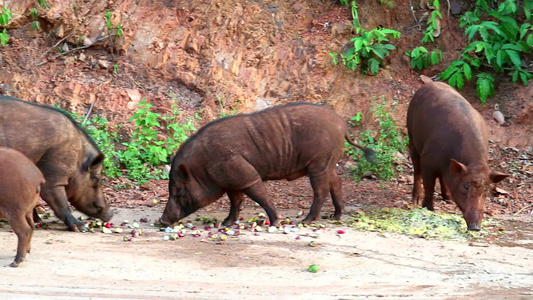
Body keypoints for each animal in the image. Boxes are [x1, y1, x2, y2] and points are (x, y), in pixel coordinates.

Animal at [0, 95, 112, 231]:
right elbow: (59, 201)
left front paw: (37, 221)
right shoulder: (54, 171)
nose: (110, 214)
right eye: (96, 179)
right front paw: (81, 227)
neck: (78, 157)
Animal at [160, 103, 372, 227]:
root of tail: (342, 125)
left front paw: (275, 223)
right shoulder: (231, 181)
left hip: (319, 163)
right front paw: (226, 224)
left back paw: (305, 221)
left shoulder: (243, 173)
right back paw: (335, 217)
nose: (161, 220)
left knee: (321, 190)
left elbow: (259, 195)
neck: (201, 167)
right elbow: (236, 201)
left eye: (179, 190)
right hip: (328, 163)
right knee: (336, 183)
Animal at [408, 83, 508, 231]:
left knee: (441, 177)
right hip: (411, 135)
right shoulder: (427, 160)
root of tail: (429, 84)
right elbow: (429, 186)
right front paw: (428, 209)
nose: (475, 227)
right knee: (416, 168)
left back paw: (448, 198)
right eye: (465, 186)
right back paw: (415, 200)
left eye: (486, 189)